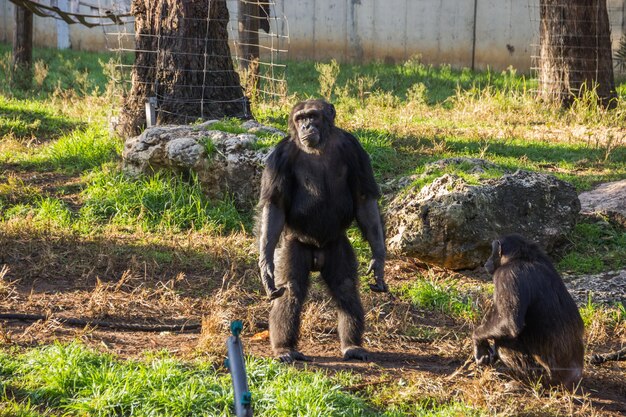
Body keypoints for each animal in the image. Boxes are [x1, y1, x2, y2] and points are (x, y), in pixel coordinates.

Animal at [255, 97, 386, 360]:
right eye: (300, 118)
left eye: (312, 116)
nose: (306, 127)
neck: (319, 147)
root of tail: (317, 253)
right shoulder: (278, 159)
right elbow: (275, 206)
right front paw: (266, 267)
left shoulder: (355, 149)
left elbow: (364, 199)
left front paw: (378, 260)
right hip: (294, 245)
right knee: (291, 290)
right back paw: (284, 348)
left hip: (337, 246)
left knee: (345, 287)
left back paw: (351, 345)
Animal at [472, 232, 584, 388]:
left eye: (492, 251)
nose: (486, 261)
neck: (522, 257)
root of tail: (574, 378)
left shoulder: (507, 275)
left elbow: (508, 322)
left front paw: (478, 340)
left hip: (545, 376)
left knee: (504, 342)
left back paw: (519, 383)